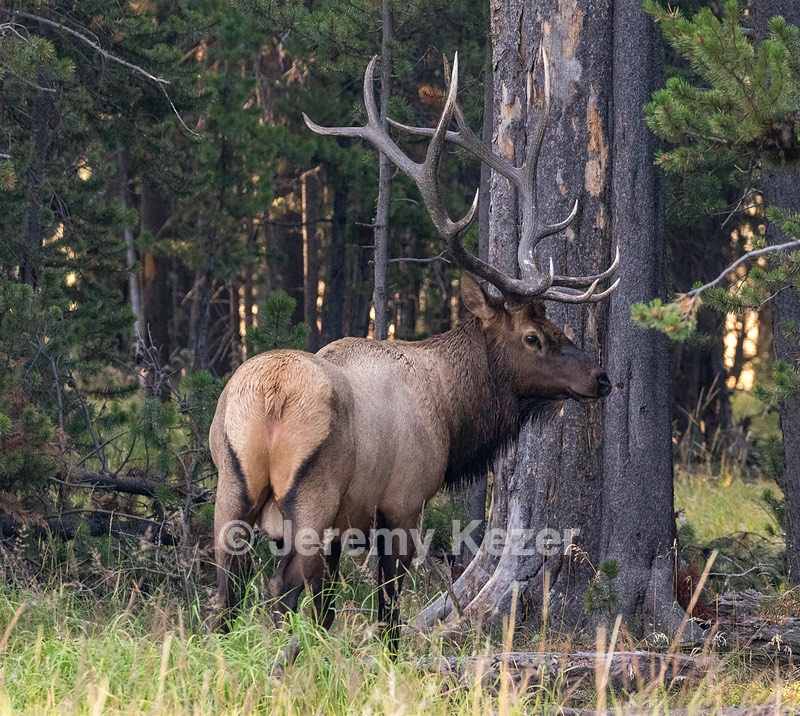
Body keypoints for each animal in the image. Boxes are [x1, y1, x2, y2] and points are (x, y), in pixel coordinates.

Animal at [209, 51, 619, 667]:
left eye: (556, 326)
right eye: (533, 337)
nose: (600, 377)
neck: (452, 414)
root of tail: (271, 399)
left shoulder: (346, 524)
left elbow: (329, 606)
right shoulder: (401, 504)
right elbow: (387, 607)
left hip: (229, 484)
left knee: (225, 587)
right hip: (312, 493)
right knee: (279, 587)